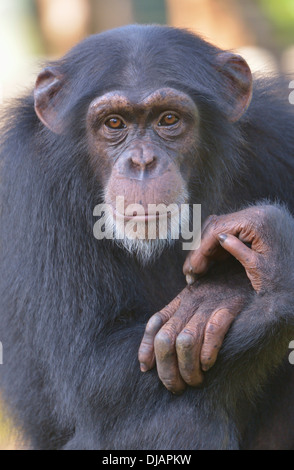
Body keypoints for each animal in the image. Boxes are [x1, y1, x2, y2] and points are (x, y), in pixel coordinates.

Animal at [0, 23, 294, 450]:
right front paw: (222, 294)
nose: (142, 162)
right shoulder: (35, 183)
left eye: (168, 119)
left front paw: (227, 285)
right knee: (179, 417)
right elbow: (95, 367)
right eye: (114, 123)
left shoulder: (280, 133)